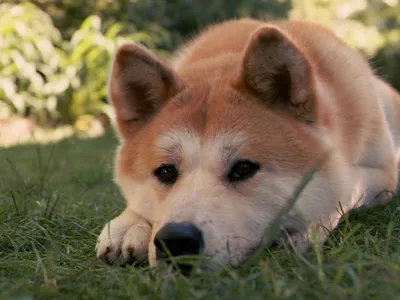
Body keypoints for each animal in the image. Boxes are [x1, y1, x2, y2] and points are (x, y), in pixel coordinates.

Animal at [94, 18, 400, 272]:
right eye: (166, 172)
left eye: (243, 168)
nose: (176, 240)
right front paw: (129, 224)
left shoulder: (380, 174)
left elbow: (346, 190)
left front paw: (305, 229)